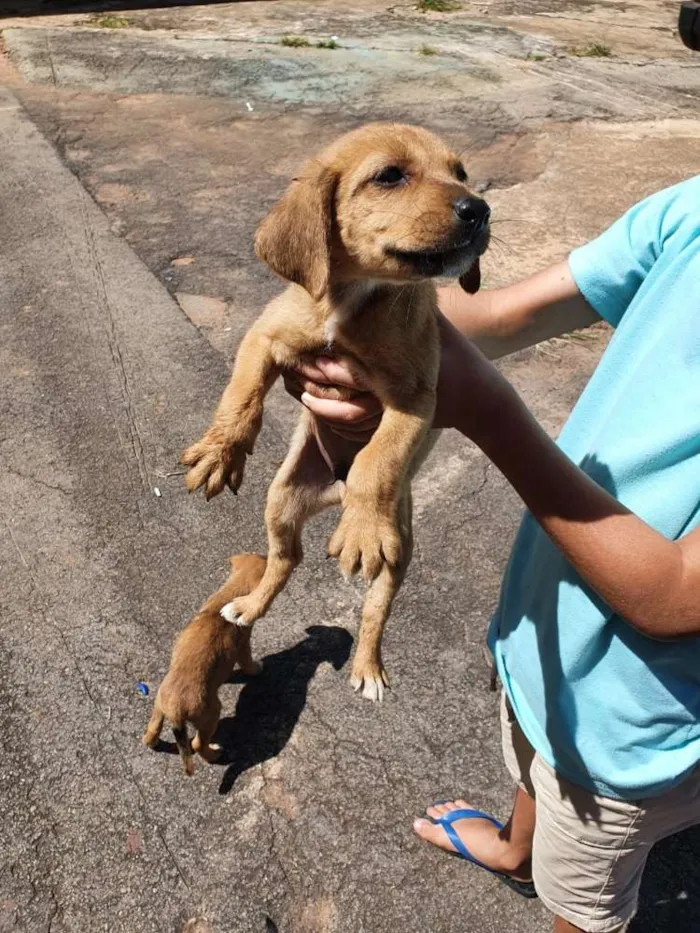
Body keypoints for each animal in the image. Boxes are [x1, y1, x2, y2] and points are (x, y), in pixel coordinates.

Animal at [142, 552, 266, 772]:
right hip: (211, 714)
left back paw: (152, 742)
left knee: (152, 730)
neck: (227, 598)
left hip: (158, 706)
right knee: (197, 744)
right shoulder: (244, 645)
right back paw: (214, 754)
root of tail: (175, 709)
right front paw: (257, 668)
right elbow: (248, 663)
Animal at [183, 124, 490, 700]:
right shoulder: (263, 338)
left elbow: (380, 456)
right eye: (389, 176)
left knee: (375, 608)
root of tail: (334, 494)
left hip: (399, 548)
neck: (354, 298)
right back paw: (248, 606)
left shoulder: (415, 397)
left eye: (460, 173)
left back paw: (368, 666)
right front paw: (220, 452)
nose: (479, 209)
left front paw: (363, 528)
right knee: (285, 560)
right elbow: (241, 395)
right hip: (281, 499)